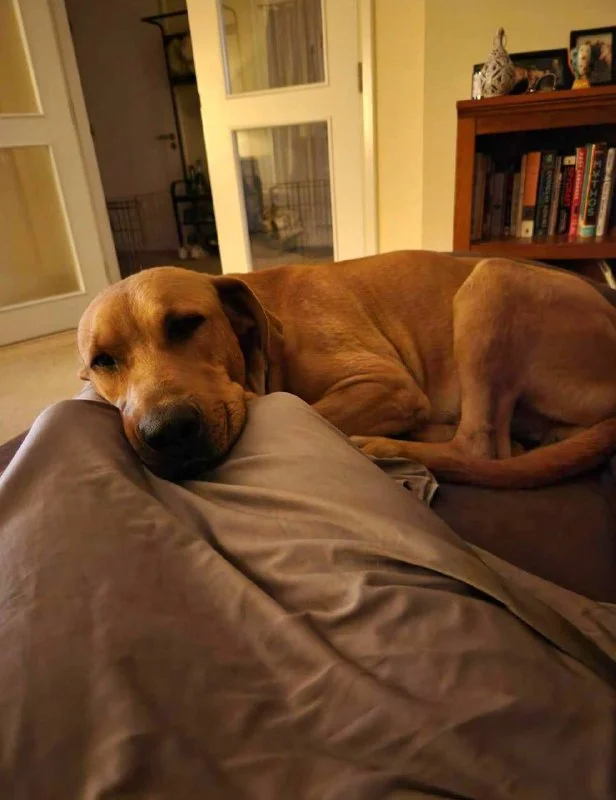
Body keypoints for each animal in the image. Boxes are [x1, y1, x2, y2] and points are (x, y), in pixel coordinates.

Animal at [77, 250, 616, 487]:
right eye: (102, 361)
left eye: (187, 324)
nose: (167, 433)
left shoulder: (387, 383)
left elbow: (305, 406)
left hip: (492, 279)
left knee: (480, 446)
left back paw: (388, 446)